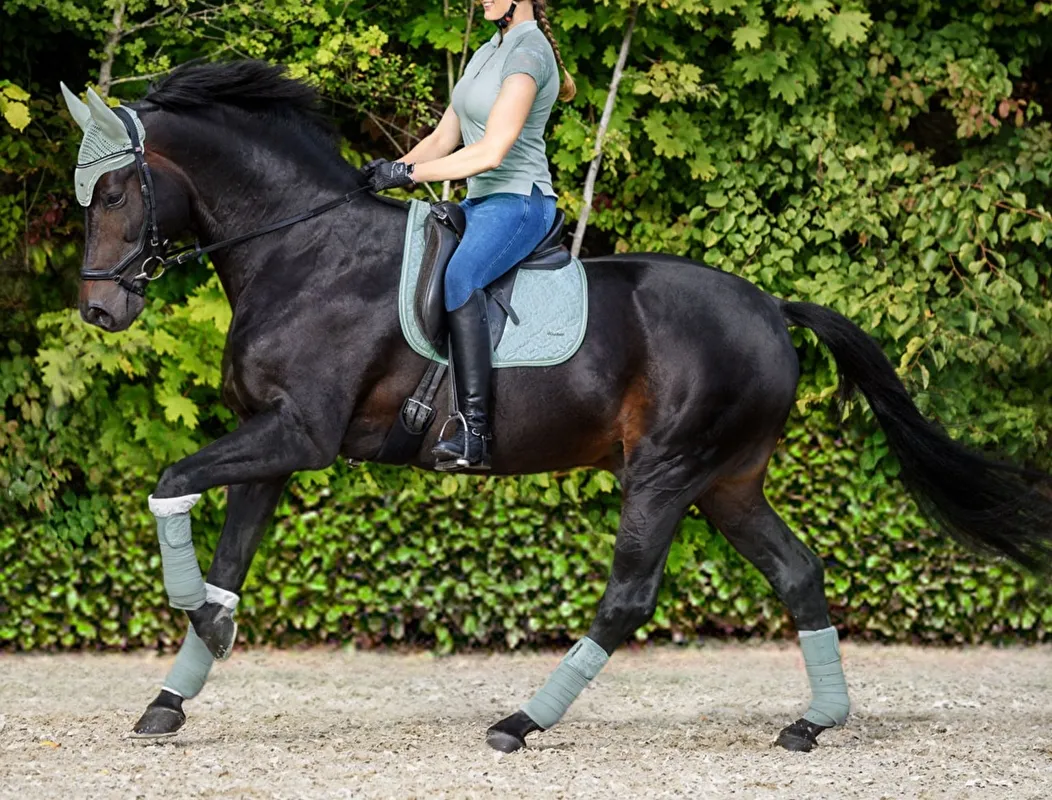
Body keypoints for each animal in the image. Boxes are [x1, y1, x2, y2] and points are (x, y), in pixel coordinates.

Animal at [63, 61, 1052, 754]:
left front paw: (203, 622)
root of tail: (772, 308)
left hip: (665, 473)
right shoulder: (269, 442)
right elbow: (227, 555)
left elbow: (170, 481)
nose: (100, 312)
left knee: (628, 598)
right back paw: (813, 724)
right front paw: (175, 689)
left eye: (112, 191)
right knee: (799, 574)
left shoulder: (297, 437)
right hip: (729, 482)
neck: (303, 251)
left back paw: (521, 722)